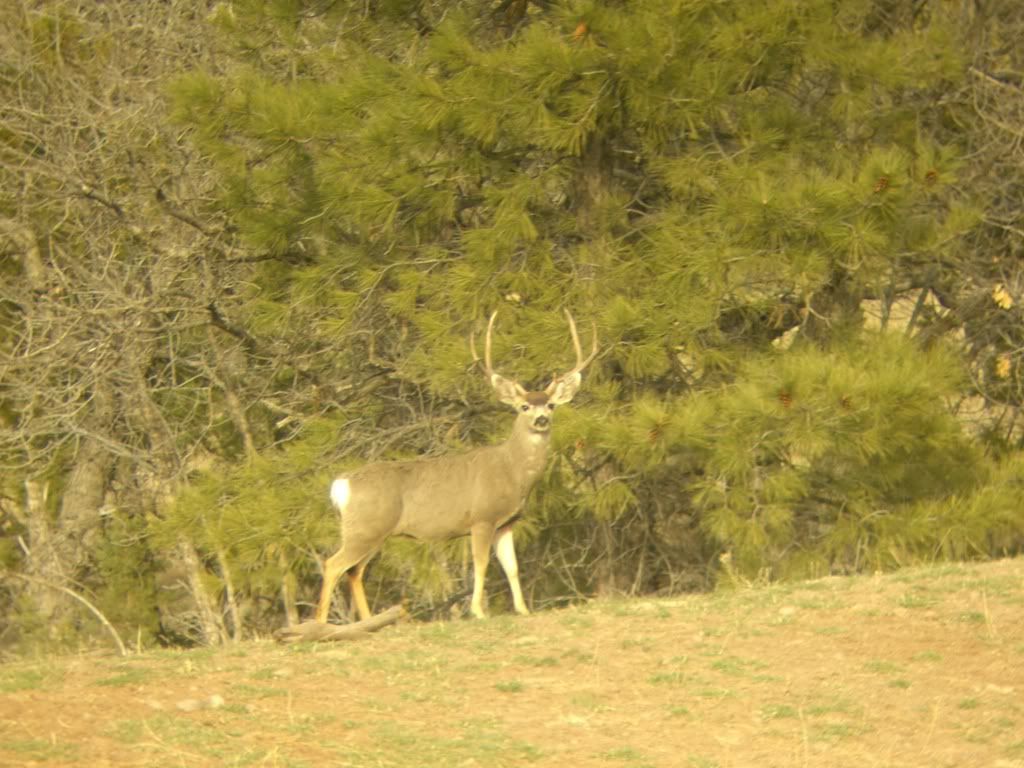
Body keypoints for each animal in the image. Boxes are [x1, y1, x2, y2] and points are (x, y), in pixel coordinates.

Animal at [315, 309, 598, 622]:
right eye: (524, 407)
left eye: (550, 405)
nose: (541, 420)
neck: (512, 472)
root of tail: (342, 485)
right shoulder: (482, 517)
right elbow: (481, 562)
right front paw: (478, 611)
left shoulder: (506, 523)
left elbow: (512, 567)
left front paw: (523, 609)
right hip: (366, 527)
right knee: (333, 564)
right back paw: (321, 624)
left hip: (372, 530)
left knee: (354, 571)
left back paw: (369, 621)